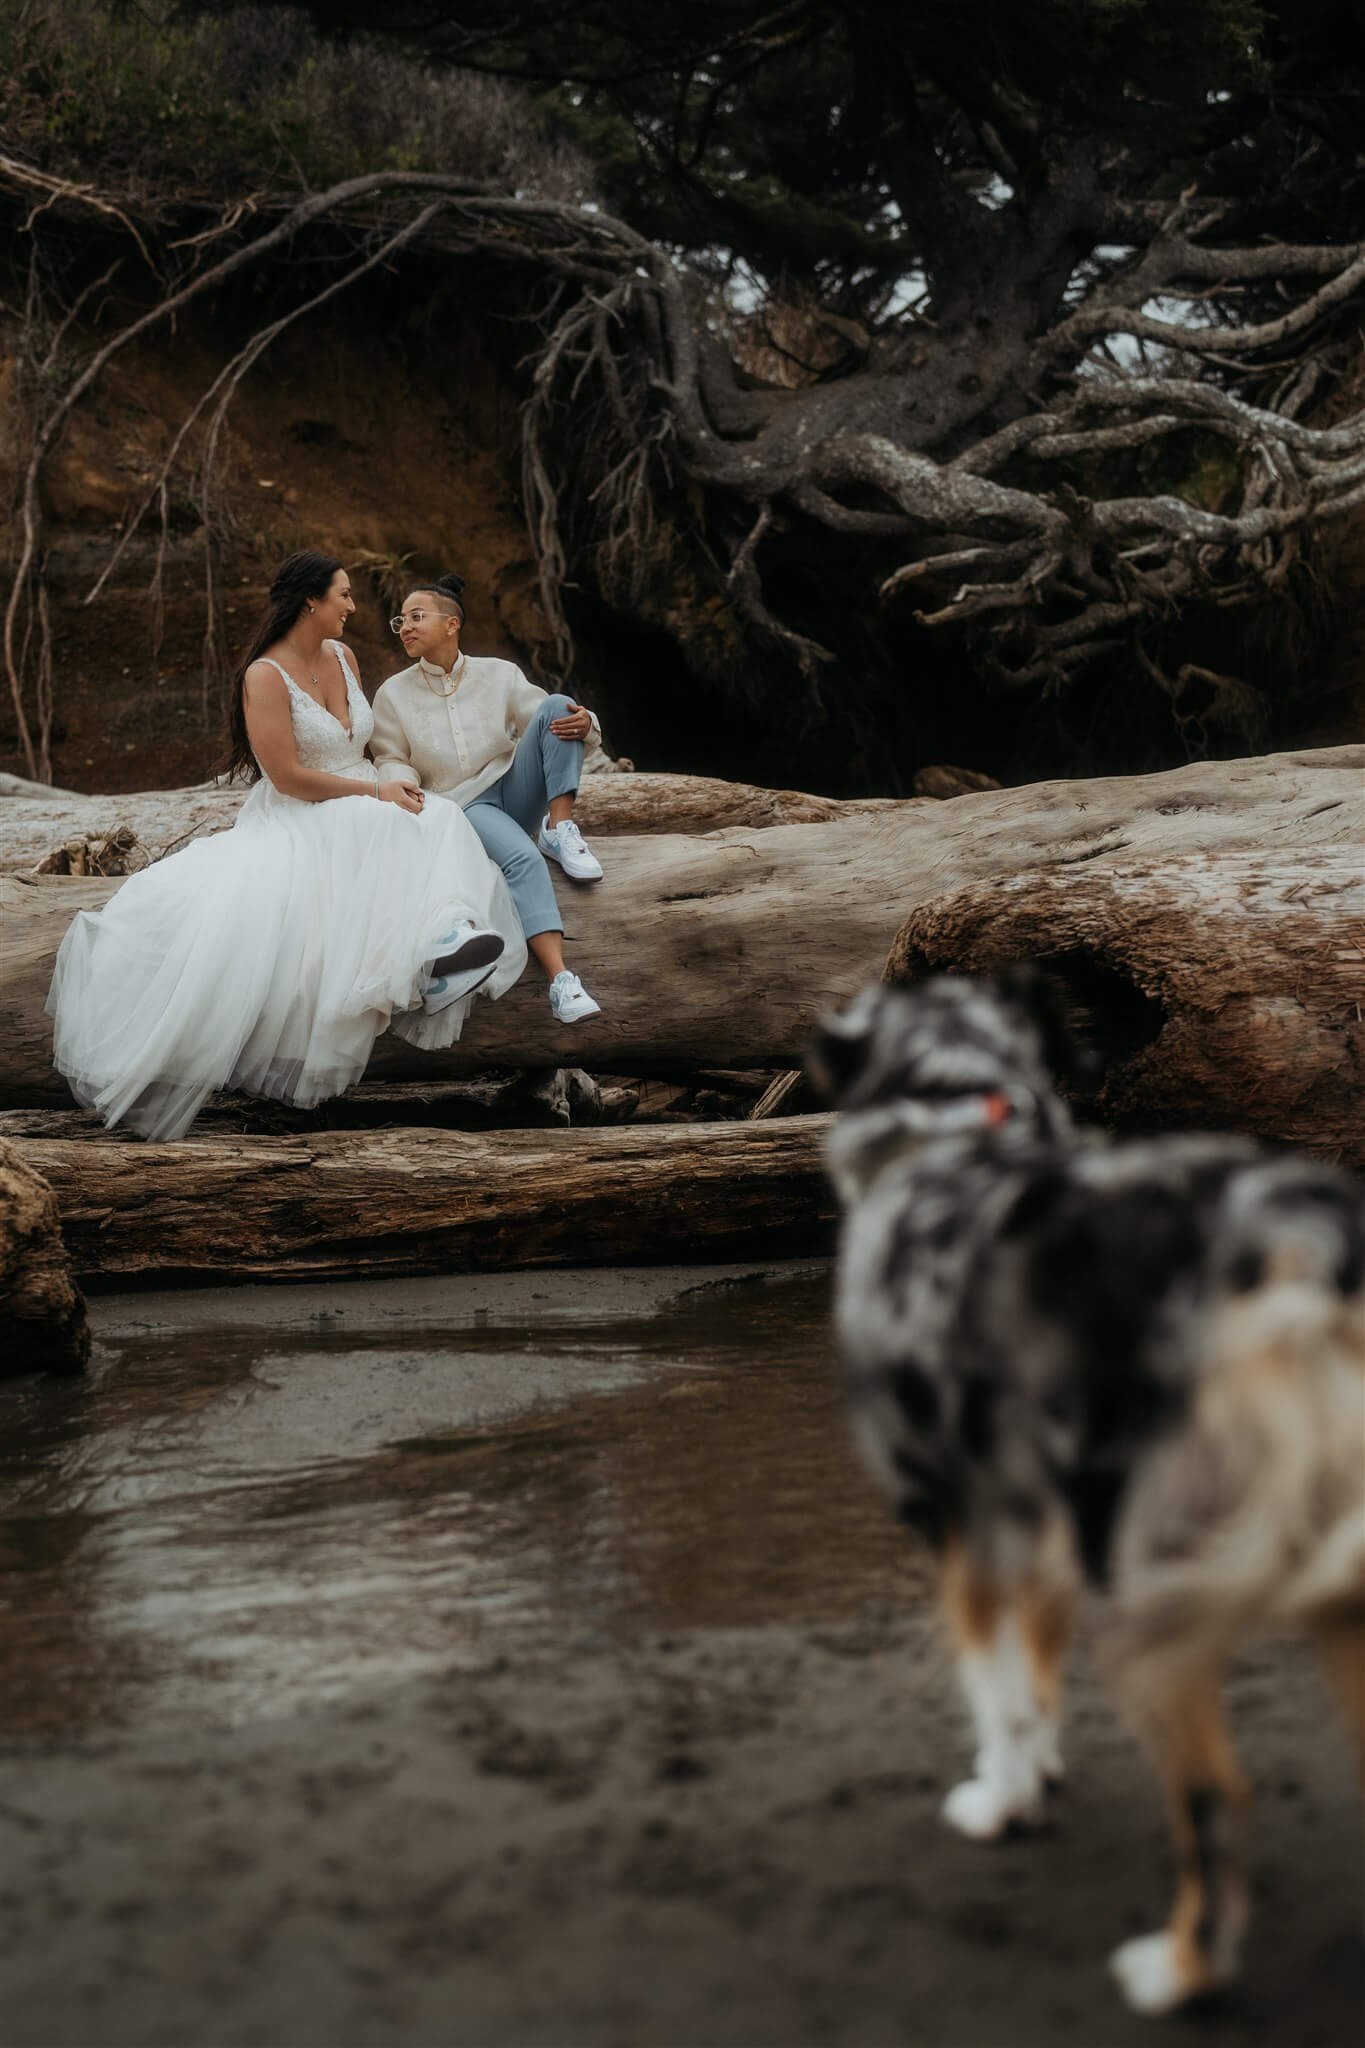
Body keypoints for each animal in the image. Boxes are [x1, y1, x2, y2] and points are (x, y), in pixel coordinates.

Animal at [818, 974, 1358, 2015]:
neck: (960, 1121)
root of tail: (1287, 1237)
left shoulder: (960, 1519)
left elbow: (996, 1691)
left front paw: (999, 1801)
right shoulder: (1034, 1519)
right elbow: (1034, 1671)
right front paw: (1034, 1774)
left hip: (1148, 1577)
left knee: (1214, 1801)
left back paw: (1177, 1971)